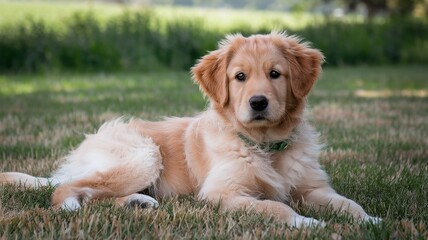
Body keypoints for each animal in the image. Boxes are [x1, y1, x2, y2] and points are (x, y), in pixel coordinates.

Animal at [0, 31, 382, 227]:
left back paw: (138, 202)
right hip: (142, 154)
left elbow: (347, 204)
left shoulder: (313, 188)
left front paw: (371, 221)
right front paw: (309, 224)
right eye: (239, 77)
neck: (264, 145)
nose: (258, 103)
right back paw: (73, 206)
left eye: (275, 74)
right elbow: (276, 208)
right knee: (69, 191)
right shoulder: (222, 193)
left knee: (96, 194)